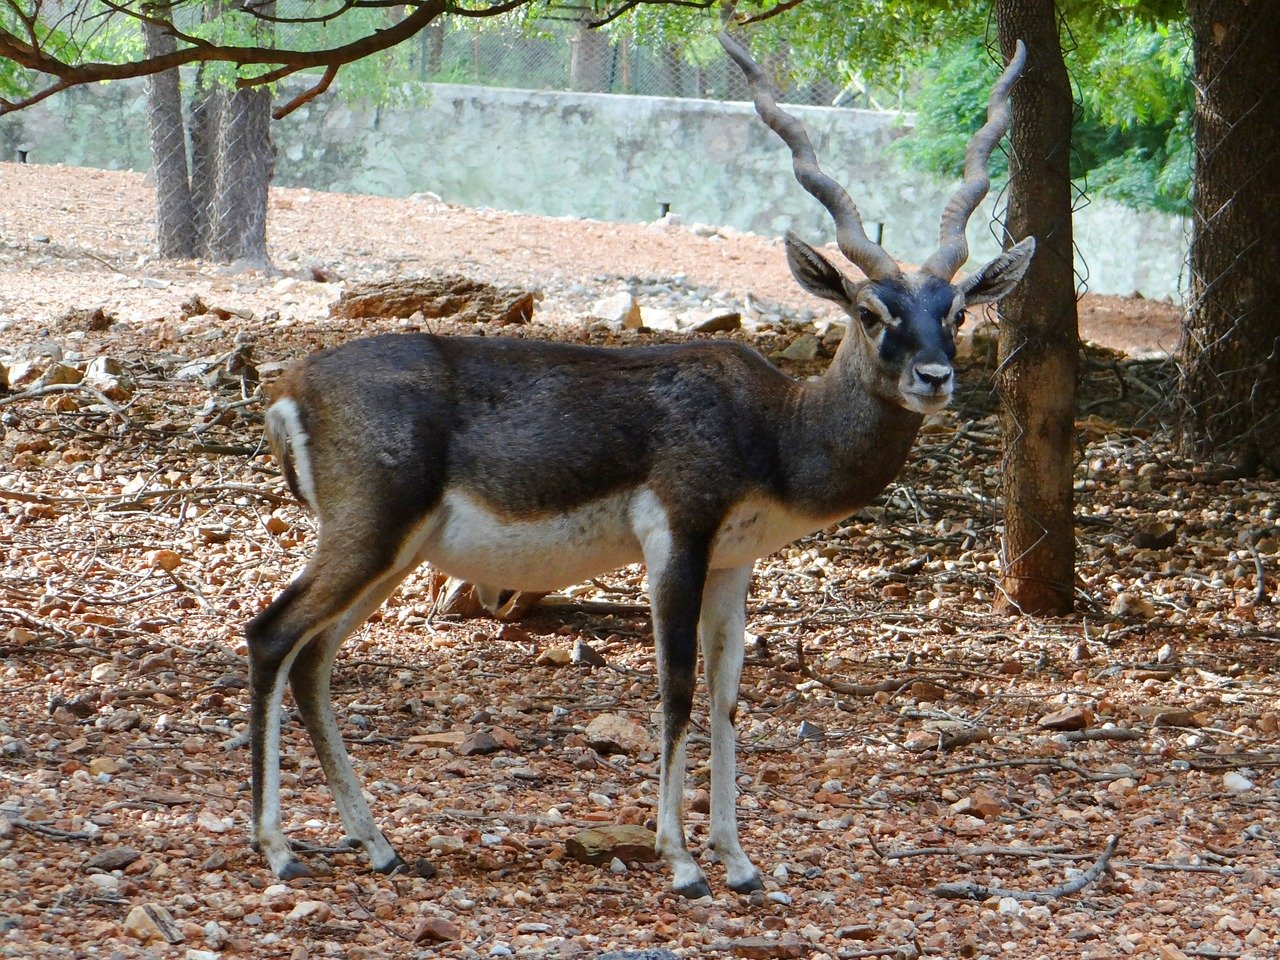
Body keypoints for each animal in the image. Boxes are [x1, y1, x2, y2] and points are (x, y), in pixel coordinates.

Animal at [244, 32, 1034, 901]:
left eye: (955, 312)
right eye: (870, 313)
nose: (935, 377)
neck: (774, 426)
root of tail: (292, 387)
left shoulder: (734, 562)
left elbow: (727, 697)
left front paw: (738, 860)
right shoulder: (677, 542)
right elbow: (676, 688)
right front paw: (682, 861)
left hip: (393, 555)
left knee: (315, 661)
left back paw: (377, 845)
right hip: (370, 538)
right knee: (271, 635)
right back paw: (277, 849)